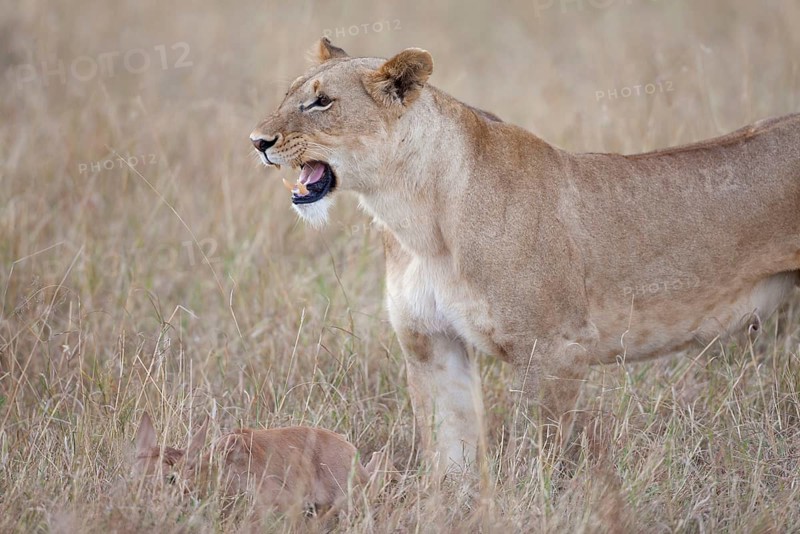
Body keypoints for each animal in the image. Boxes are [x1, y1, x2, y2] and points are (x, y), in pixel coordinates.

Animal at [250, 38, 800, 474]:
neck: (416, 219)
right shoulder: (429, 343)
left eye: (322, 102)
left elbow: (540, 451)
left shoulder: (555, 348)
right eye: (289, 96)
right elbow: (448, 450)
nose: (257, 141)